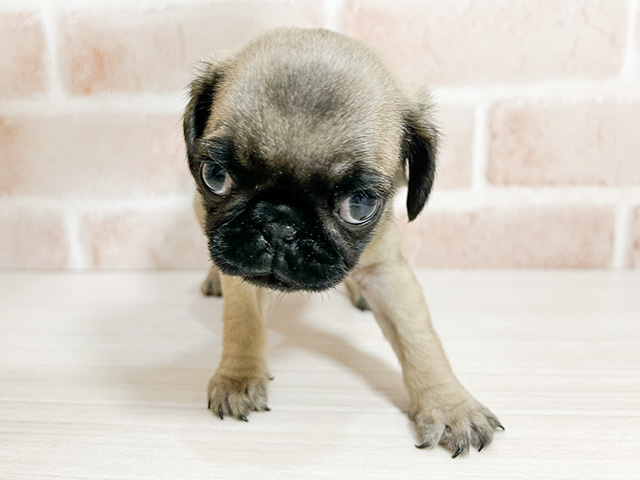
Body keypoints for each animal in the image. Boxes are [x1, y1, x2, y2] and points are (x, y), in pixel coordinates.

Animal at [182, 27, 502, 458]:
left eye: (360, 204)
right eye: (215, 176)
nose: (280, 224)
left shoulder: (388, 271)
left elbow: (419, 341)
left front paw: (450, 406)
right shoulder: (240, 266)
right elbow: (243, 321)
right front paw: (239, 376)